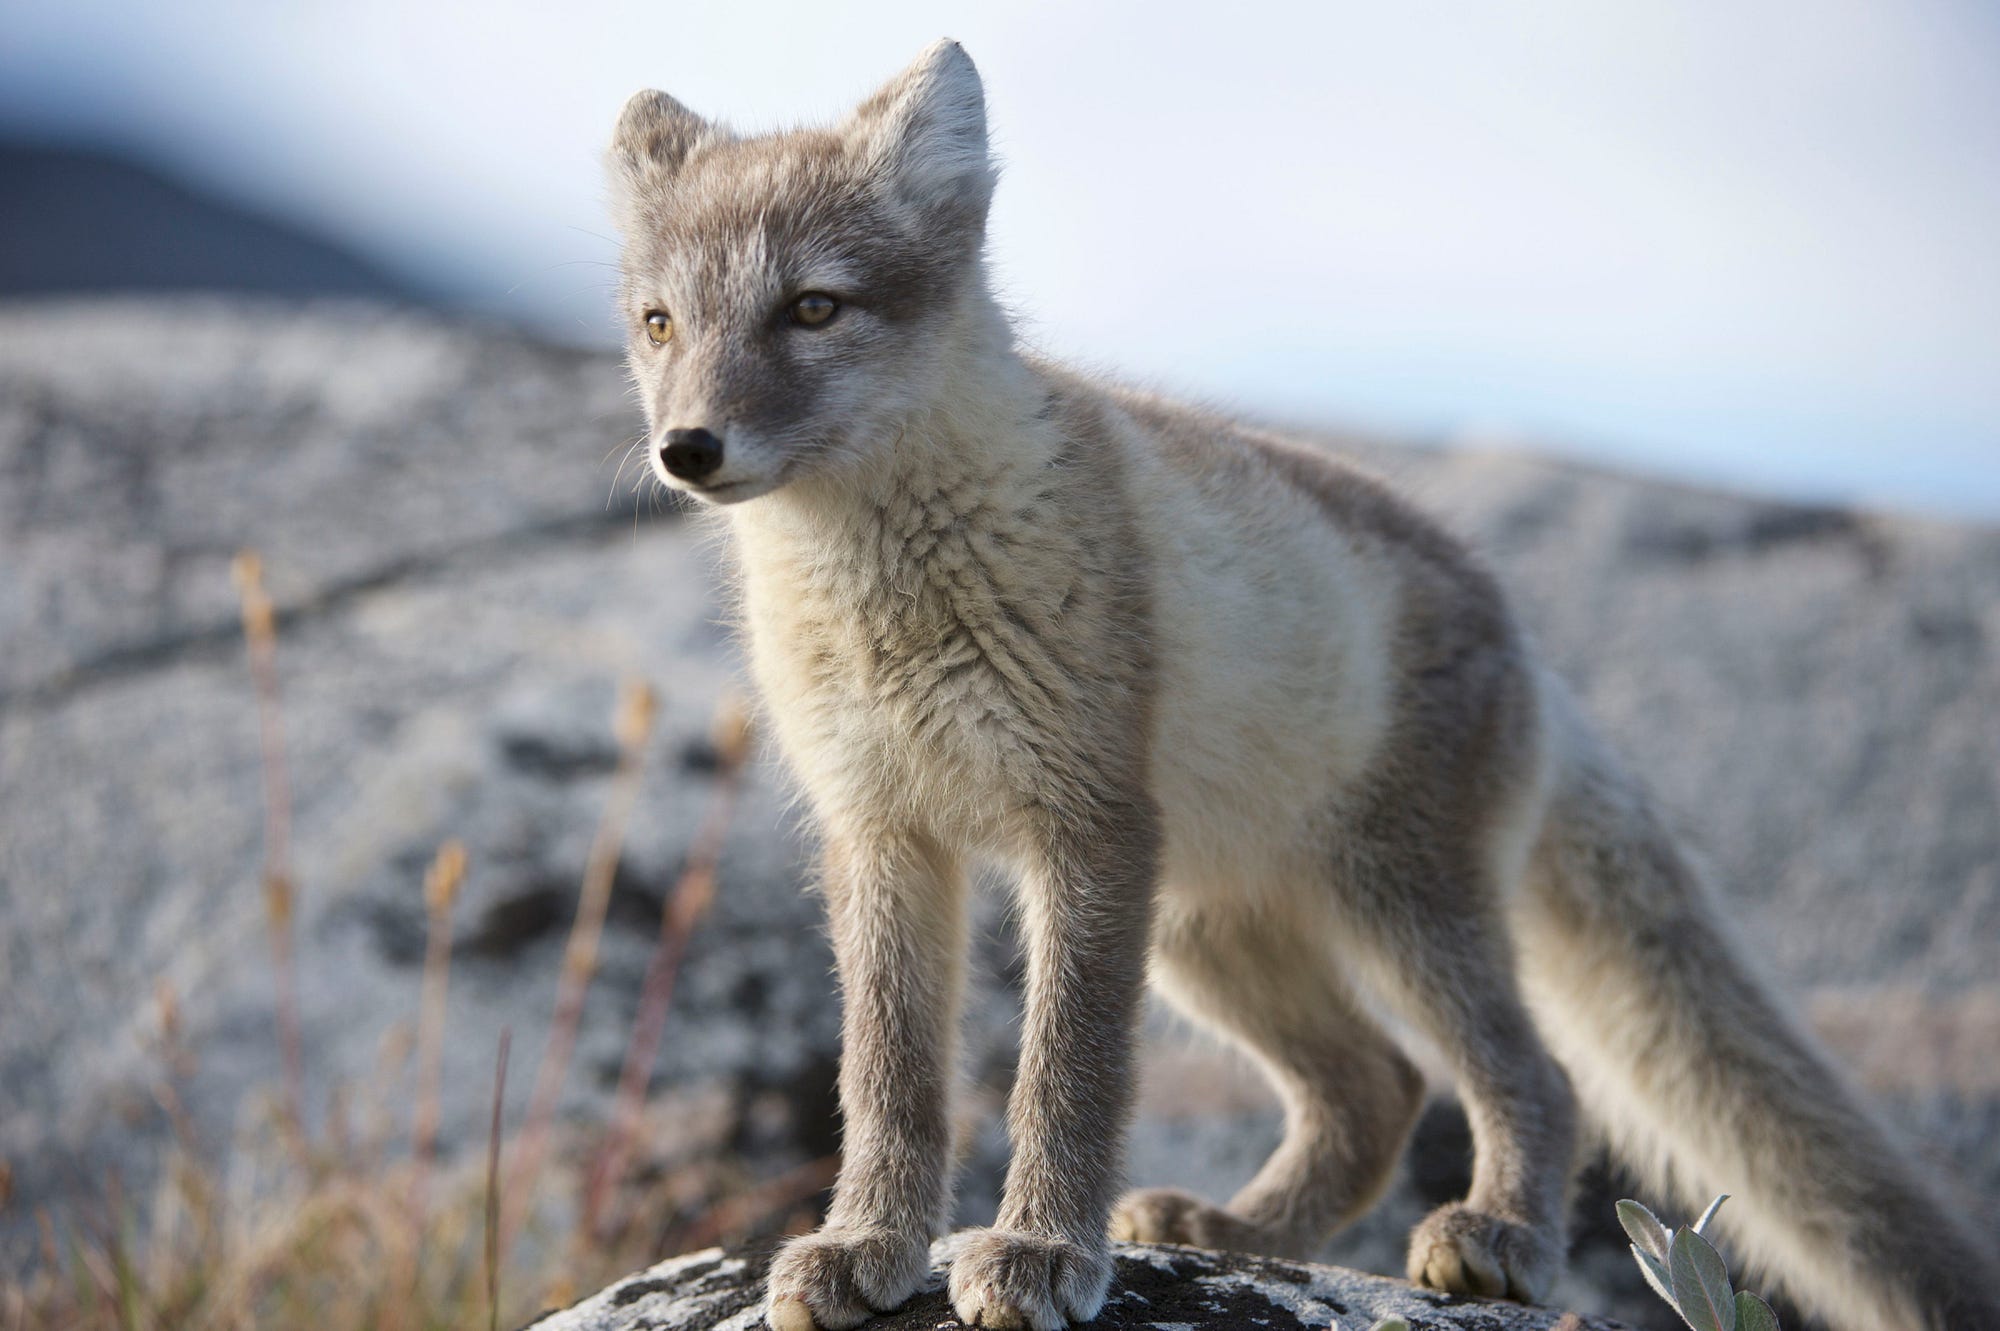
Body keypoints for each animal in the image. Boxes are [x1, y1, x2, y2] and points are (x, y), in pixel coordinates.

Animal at [605, 39, 2000, 1331]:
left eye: (813, 308)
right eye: (660, 323)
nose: (687, 449)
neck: (885, 592)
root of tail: (1523, 635)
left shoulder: (1085, 829)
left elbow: (1066, 1074)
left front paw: (1043, 1250)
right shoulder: (883, 832)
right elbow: (886, 1079)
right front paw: (866, 1244)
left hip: (1397, 908)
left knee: (1527, 1076)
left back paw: (1494, 1237)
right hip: (1209, 931)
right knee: (1372, 1088)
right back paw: (1231, 1231)